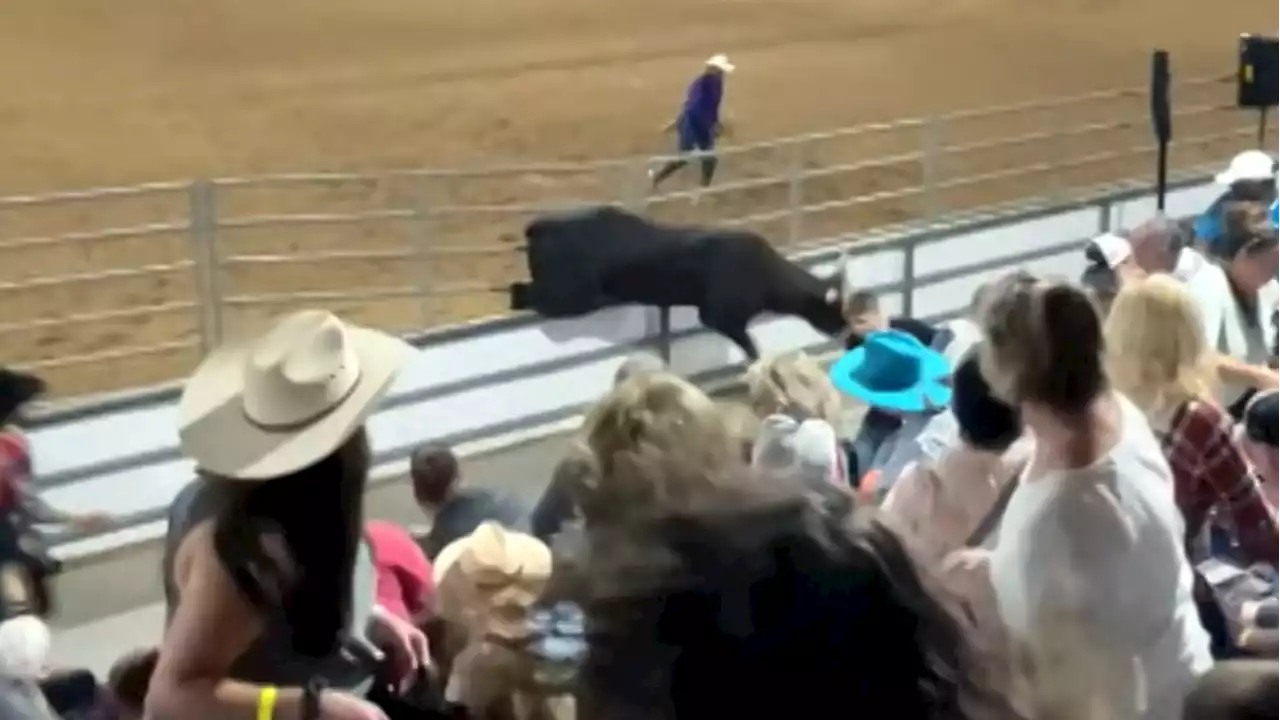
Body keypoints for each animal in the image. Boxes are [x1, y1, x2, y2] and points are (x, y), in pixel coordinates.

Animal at [509, 206, 849, 356]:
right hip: (568, 296)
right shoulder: (718, 316)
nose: (849, 335)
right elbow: (752, 348)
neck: (766, 275)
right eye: (832, 309)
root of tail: (539, 228)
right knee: (523, 295)